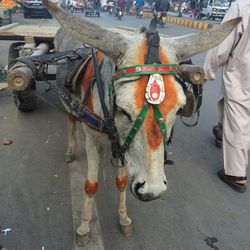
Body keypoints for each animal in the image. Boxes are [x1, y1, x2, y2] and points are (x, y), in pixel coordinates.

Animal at [42, 0, 240, 246]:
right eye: (123, 109)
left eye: (178, 109)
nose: (152, 191)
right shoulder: (94, 138)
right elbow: (91, 185)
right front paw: (84, 227)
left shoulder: (122, 147)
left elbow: (122, 182)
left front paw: (124, 219)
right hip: (69, 101)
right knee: (71, 119)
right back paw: (70, 149)